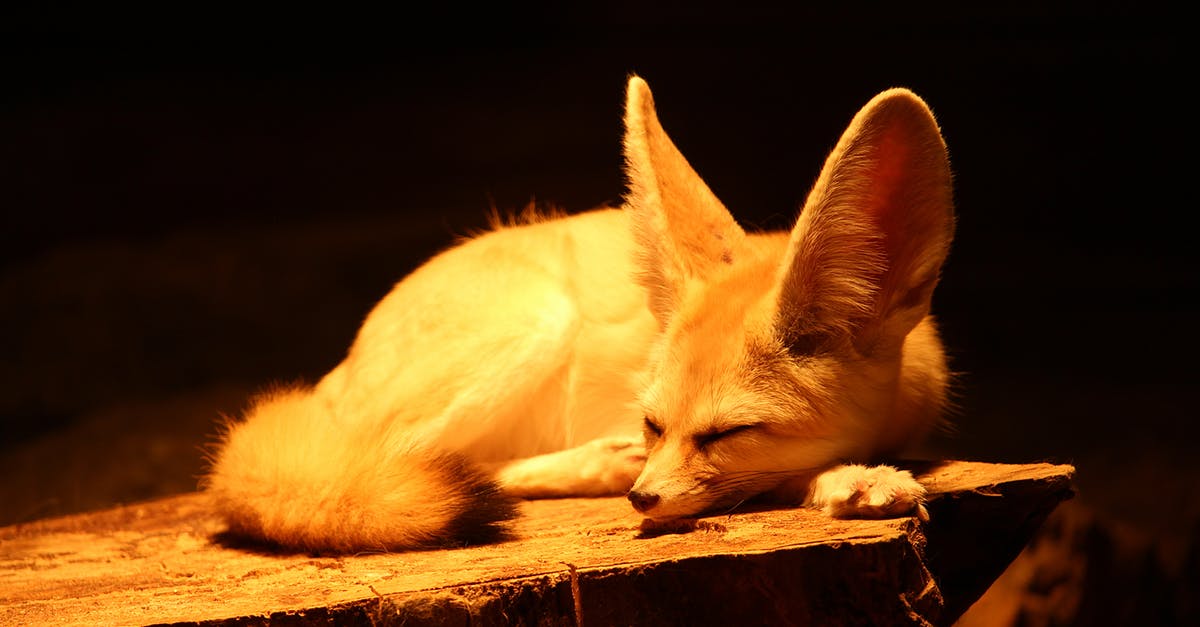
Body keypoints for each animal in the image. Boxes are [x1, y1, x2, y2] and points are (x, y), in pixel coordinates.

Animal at [205, 75, 955, 553]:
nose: (643, 500)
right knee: (394, 461)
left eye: (730, 431)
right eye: (654, 422)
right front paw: (851, 479)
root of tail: (336, 373)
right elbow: (765, 479)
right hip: (533, 326)